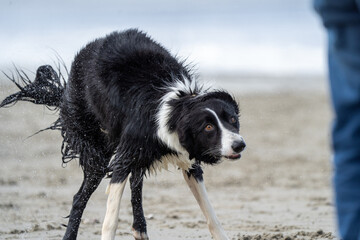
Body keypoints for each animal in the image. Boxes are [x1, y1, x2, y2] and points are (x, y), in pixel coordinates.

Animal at [0, 29, 245, 240]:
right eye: (208, 127)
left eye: (233, 120)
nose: (240, 145)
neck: (173, 106)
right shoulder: (123, 160)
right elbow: (110, 220)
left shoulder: (187, 159)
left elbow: (211, 213)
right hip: (96, 152)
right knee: (80, 196)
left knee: (136, 181)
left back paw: (140, 229)